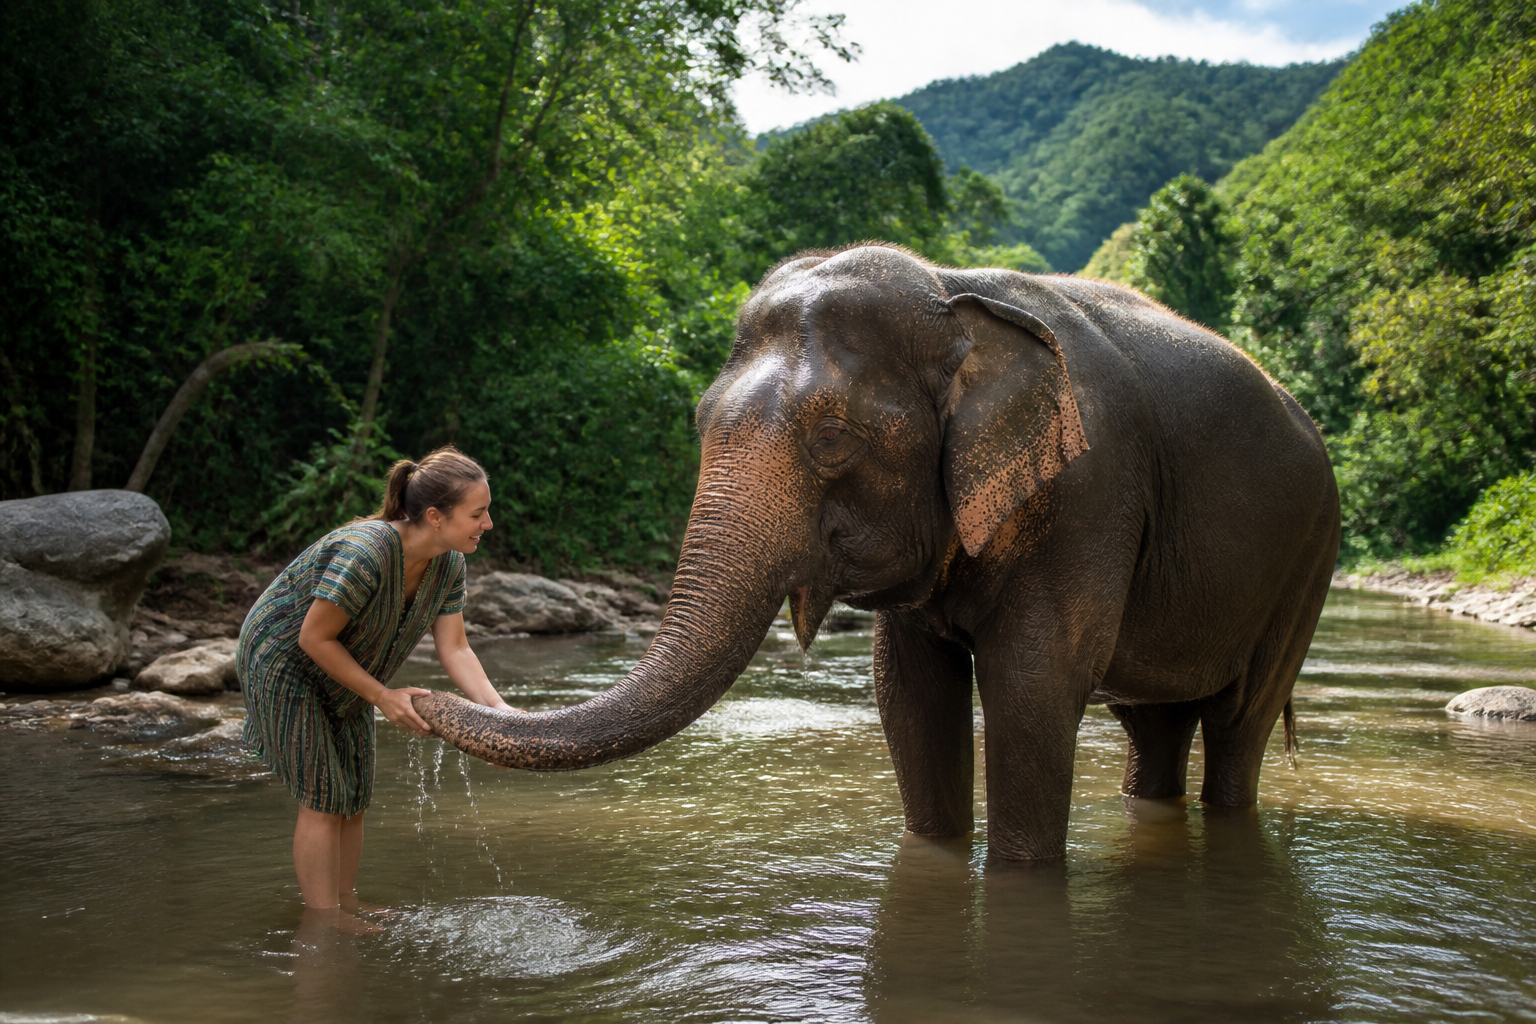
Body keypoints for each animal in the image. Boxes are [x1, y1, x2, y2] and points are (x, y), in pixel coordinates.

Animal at [415, 244, 1341, 861]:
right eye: (699, 422)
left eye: (832, 440)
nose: (418, 698)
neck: (951, 293)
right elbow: (910, 692)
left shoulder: (1090, 491)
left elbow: (1032, 686)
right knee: (1155, 725)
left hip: (1309, 559)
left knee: (1239, 721)